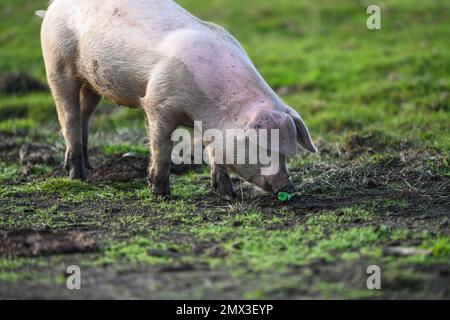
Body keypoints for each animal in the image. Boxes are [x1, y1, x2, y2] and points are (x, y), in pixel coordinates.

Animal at [37, 0, 316, 200]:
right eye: (266, 148)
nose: (288, 186)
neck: (206, 112)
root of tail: (52, 6)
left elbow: (214, 153)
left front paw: (228, 196)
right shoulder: (158, 102)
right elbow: (162, 148)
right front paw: (161, 195)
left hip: (92, 83)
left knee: (84, 115)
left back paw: (89, 167)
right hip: (56, 64)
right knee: (69, 118)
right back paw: (78, 177)